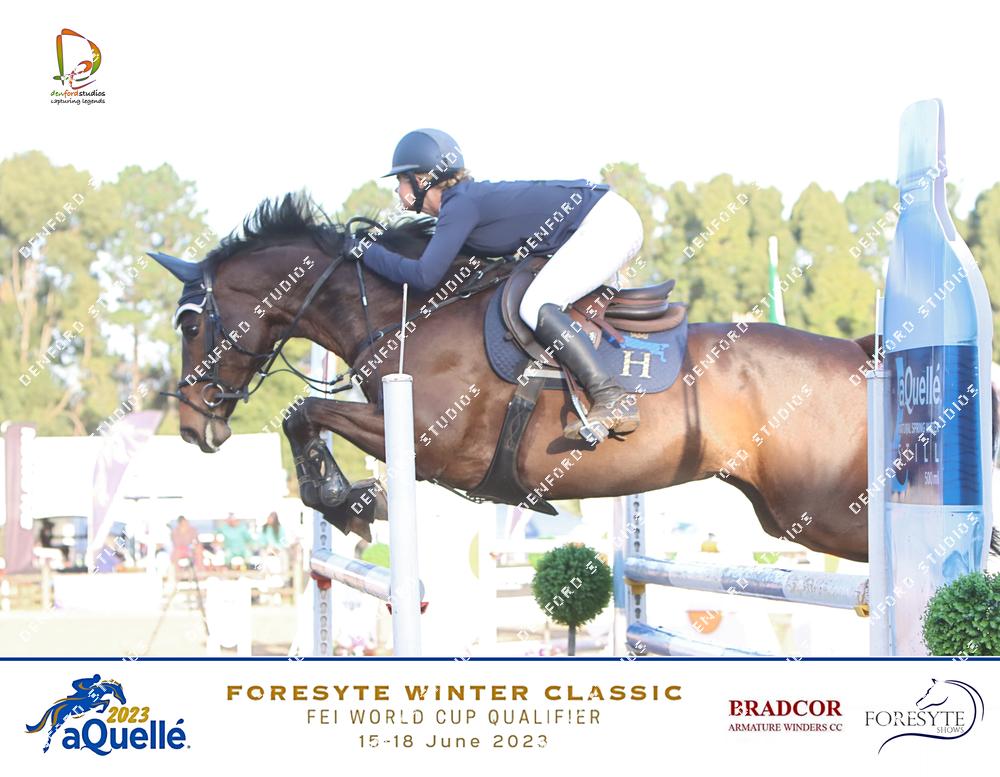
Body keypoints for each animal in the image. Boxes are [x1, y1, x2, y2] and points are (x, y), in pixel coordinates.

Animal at [150, 193, 999, 564]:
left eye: (191, 324)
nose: (192, 425)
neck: (400, 310)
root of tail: (863, 354)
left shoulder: (435, 445)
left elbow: (302, 411)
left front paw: (347, 496)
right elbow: (303, 416)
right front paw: (349, 499)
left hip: (824, 508)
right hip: (788, 512)